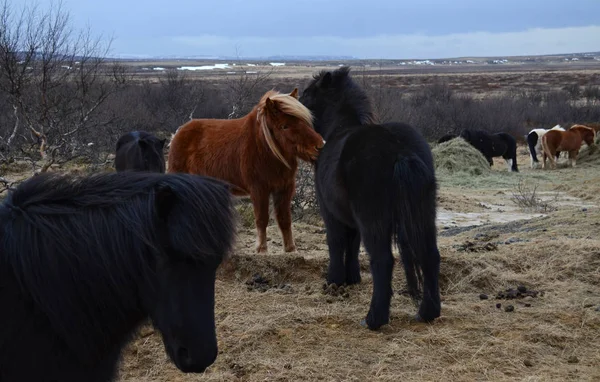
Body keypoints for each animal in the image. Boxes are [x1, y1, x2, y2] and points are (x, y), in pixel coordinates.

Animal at [166, 89, 326, 254]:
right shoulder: (259, 189)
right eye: (284, 126)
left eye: (304, 121)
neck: (265, 149)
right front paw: (261, 249)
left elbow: (285, 219)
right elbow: (262, 219)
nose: (320, 146)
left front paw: (290, 249)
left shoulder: (285, 189)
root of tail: (178, 133)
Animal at [300, 67, 440, 330]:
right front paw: (352, 277)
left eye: (307, 93)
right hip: (424, 215)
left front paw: (334, 280)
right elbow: (353, 244)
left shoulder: (331, 213)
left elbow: (336, 243)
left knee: (383, 261)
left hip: (374, 221)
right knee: (430, 255)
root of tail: (399, 150)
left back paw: (374, 319)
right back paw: (428, 312)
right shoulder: (353, 219)